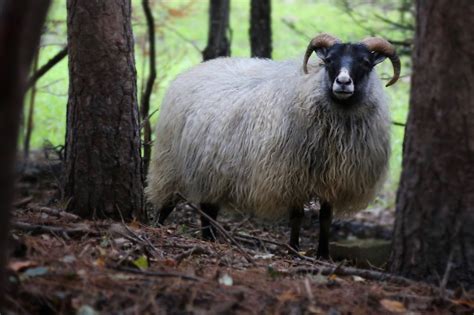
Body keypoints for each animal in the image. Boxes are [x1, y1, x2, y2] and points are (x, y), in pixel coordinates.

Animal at [147, 33, 400, 258]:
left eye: (365, 62)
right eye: (329, 60)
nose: (343, 82)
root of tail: (191, 71)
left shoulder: (332, 178)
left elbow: (326, 218)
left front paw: (322, 254)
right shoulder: (293, 175)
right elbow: (297, 216)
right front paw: (293, 250)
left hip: (212, 169)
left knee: (208, 209)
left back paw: (209, 239)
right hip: (172, 162)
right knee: (169, 201)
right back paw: (158, 228)